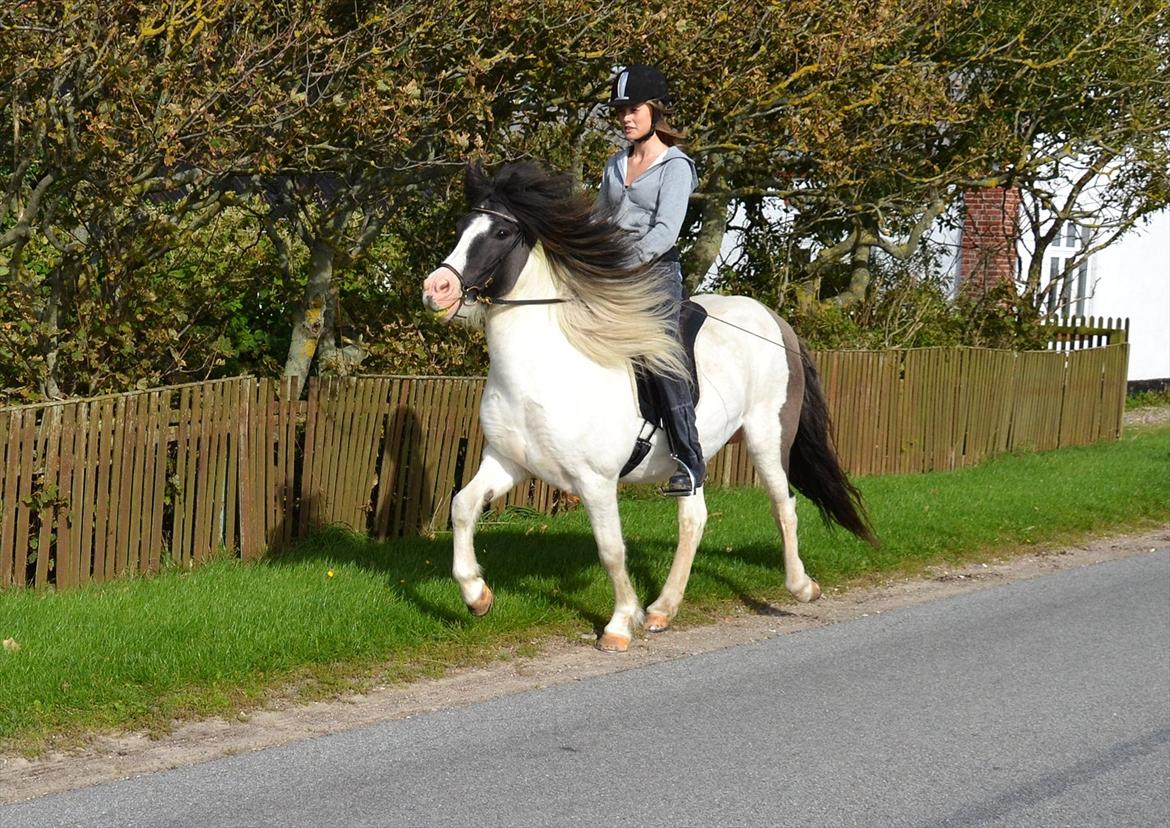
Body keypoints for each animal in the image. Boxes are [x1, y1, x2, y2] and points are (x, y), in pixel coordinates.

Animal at [425, 163, 875, 654]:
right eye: (460, 227)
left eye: (502, 232)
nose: (436, 289)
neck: (547, 366)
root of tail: (775, 321)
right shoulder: (508, 462)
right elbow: (462, 506)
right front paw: (476, 596)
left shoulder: (595, 481)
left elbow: (611, 549)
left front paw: (620, 624)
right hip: (694, 460)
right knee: (694, 519)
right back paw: (663, 609)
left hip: (766, 438)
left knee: (783, 504)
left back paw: (801, 587)